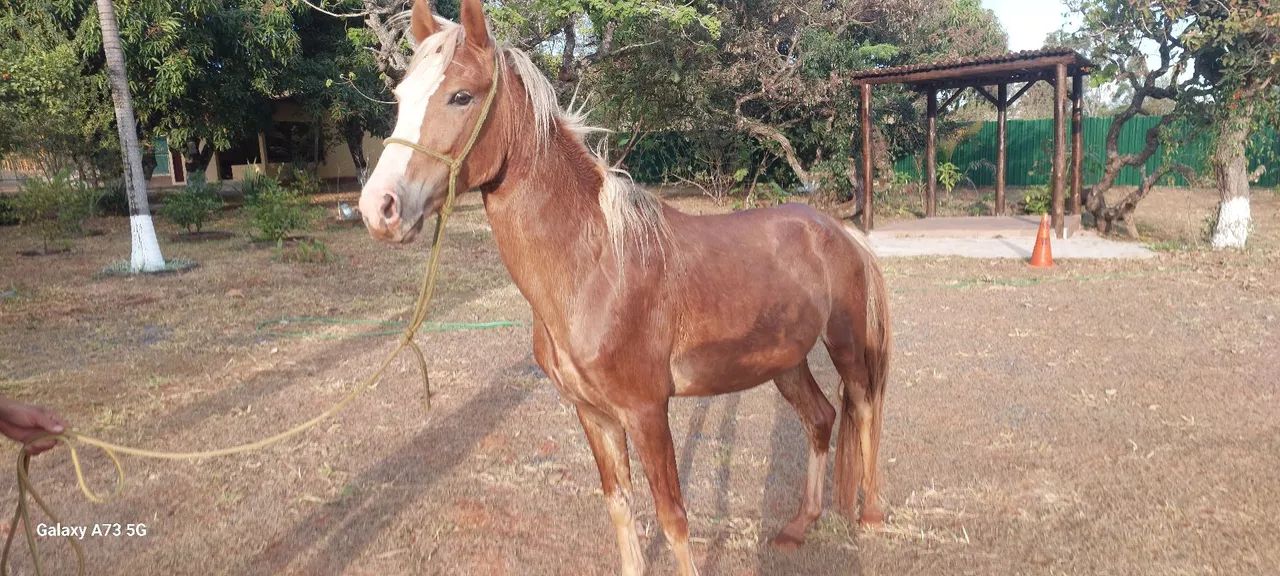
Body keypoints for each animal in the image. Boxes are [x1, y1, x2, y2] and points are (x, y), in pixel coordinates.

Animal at [358, 1, 892, 573]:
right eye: (400, 97)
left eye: (461, 95)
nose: (379, 208)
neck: (596, 268)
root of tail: (837, 231)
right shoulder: (594, 415)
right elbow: (620, 507)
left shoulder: (646, 411)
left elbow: (672, 517)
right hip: (785, 361)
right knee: (821, 419)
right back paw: (799, 525)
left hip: (845, 347)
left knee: (865, 410)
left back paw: (871, 513)